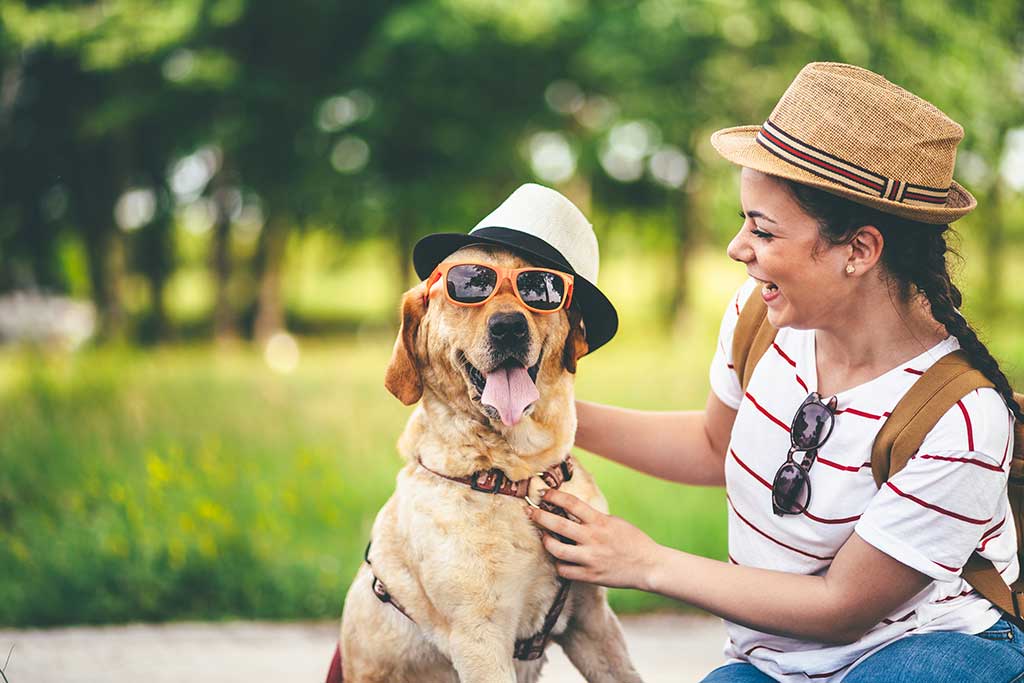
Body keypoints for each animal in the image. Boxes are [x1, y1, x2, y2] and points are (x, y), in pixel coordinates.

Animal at [335, 242, 643, 679]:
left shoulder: (592, 619)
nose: (509, 327)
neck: (518, 476)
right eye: (467, 287)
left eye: (539, 289)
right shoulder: (479, 637)